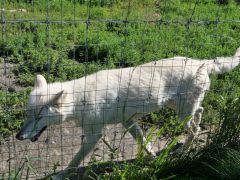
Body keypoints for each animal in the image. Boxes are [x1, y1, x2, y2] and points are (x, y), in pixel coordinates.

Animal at [15, 47, 239, 174]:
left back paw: (183, 151)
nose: (18, 136)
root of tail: (201, 61)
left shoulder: (94, 135)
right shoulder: (128, 121)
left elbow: (75, 160)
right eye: (27, 114)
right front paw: (153, 158)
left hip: (182, 113)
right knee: (200, 112)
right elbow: (144, 142)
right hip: (179, 109)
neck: (81, 99)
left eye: (38, 116)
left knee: (195, 127)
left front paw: (61, 174)